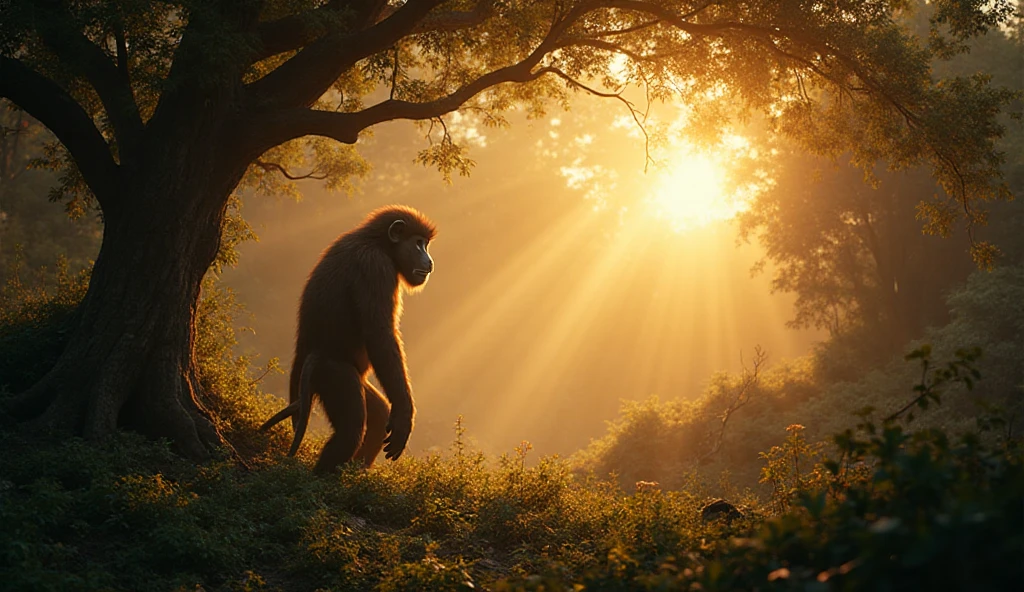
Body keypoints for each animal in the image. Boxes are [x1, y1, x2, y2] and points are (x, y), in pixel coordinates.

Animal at [260, 205, 436, 474]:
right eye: (418, 243)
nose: (429, 261)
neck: (379, 243)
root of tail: (310, 354)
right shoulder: (376, 267)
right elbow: (380, 336)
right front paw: (405, 416)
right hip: (333, 374)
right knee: (350, 431)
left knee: (377, 417)